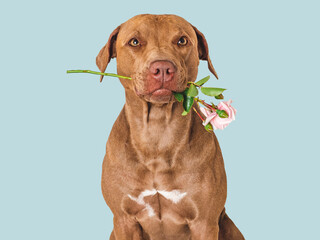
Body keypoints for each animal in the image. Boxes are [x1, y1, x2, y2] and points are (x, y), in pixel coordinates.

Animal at [96, 14, 244, 239]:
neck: (157, 133)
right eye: (134, 42)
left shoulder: (204, 222)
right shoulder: (124, 220)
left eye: (182, 40)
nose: (163, 68)